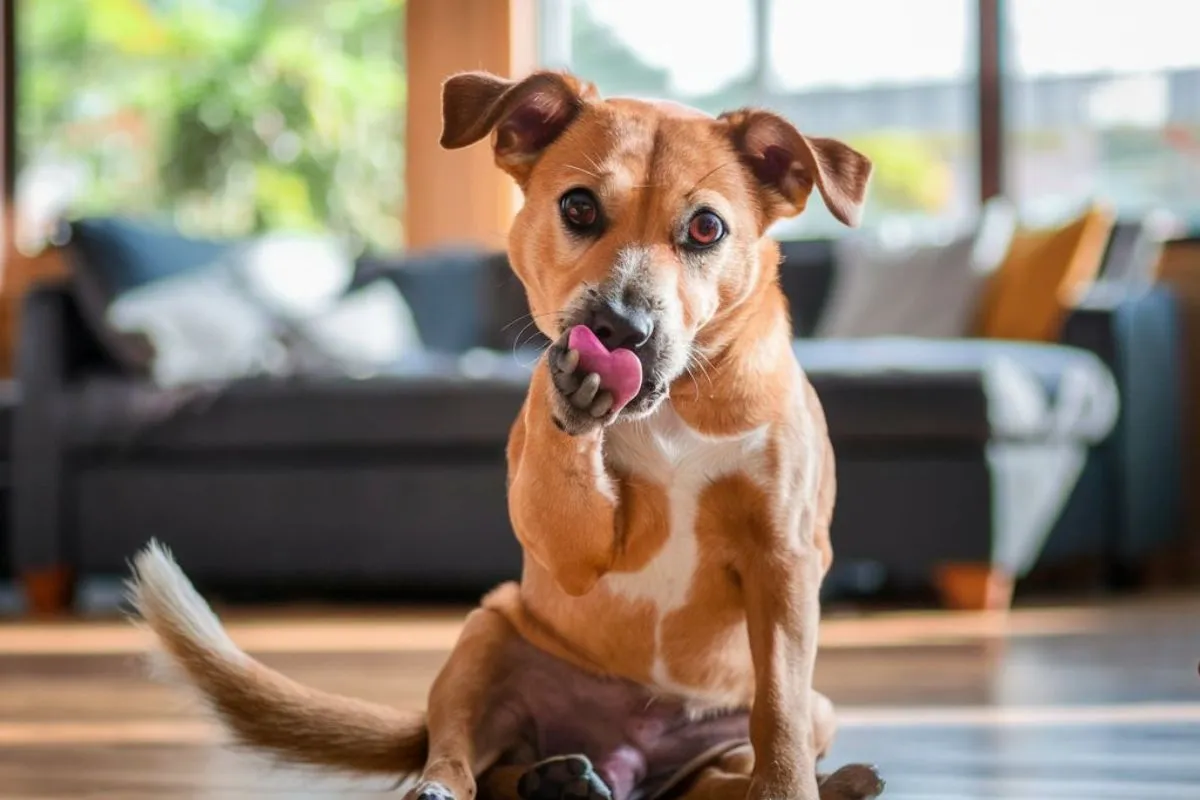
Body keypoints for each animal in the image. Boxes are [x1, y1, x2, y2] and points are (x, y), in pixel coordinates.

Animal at [129, 70, 883, 800]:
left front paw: (787, 788)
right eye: (578, 207)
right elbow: (568, 492)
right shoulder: (578, 547)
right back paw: (505, 783)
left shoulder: (783, 561)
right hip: (484, 633)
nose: (618, 328)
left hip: (809, 708)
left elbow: (776, 714)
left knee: (712, 776)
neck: (669, 411)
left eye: (705, 228)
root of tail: (626, 756)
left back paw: (817, 781)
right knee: (468, 757)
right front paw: (571, 397)